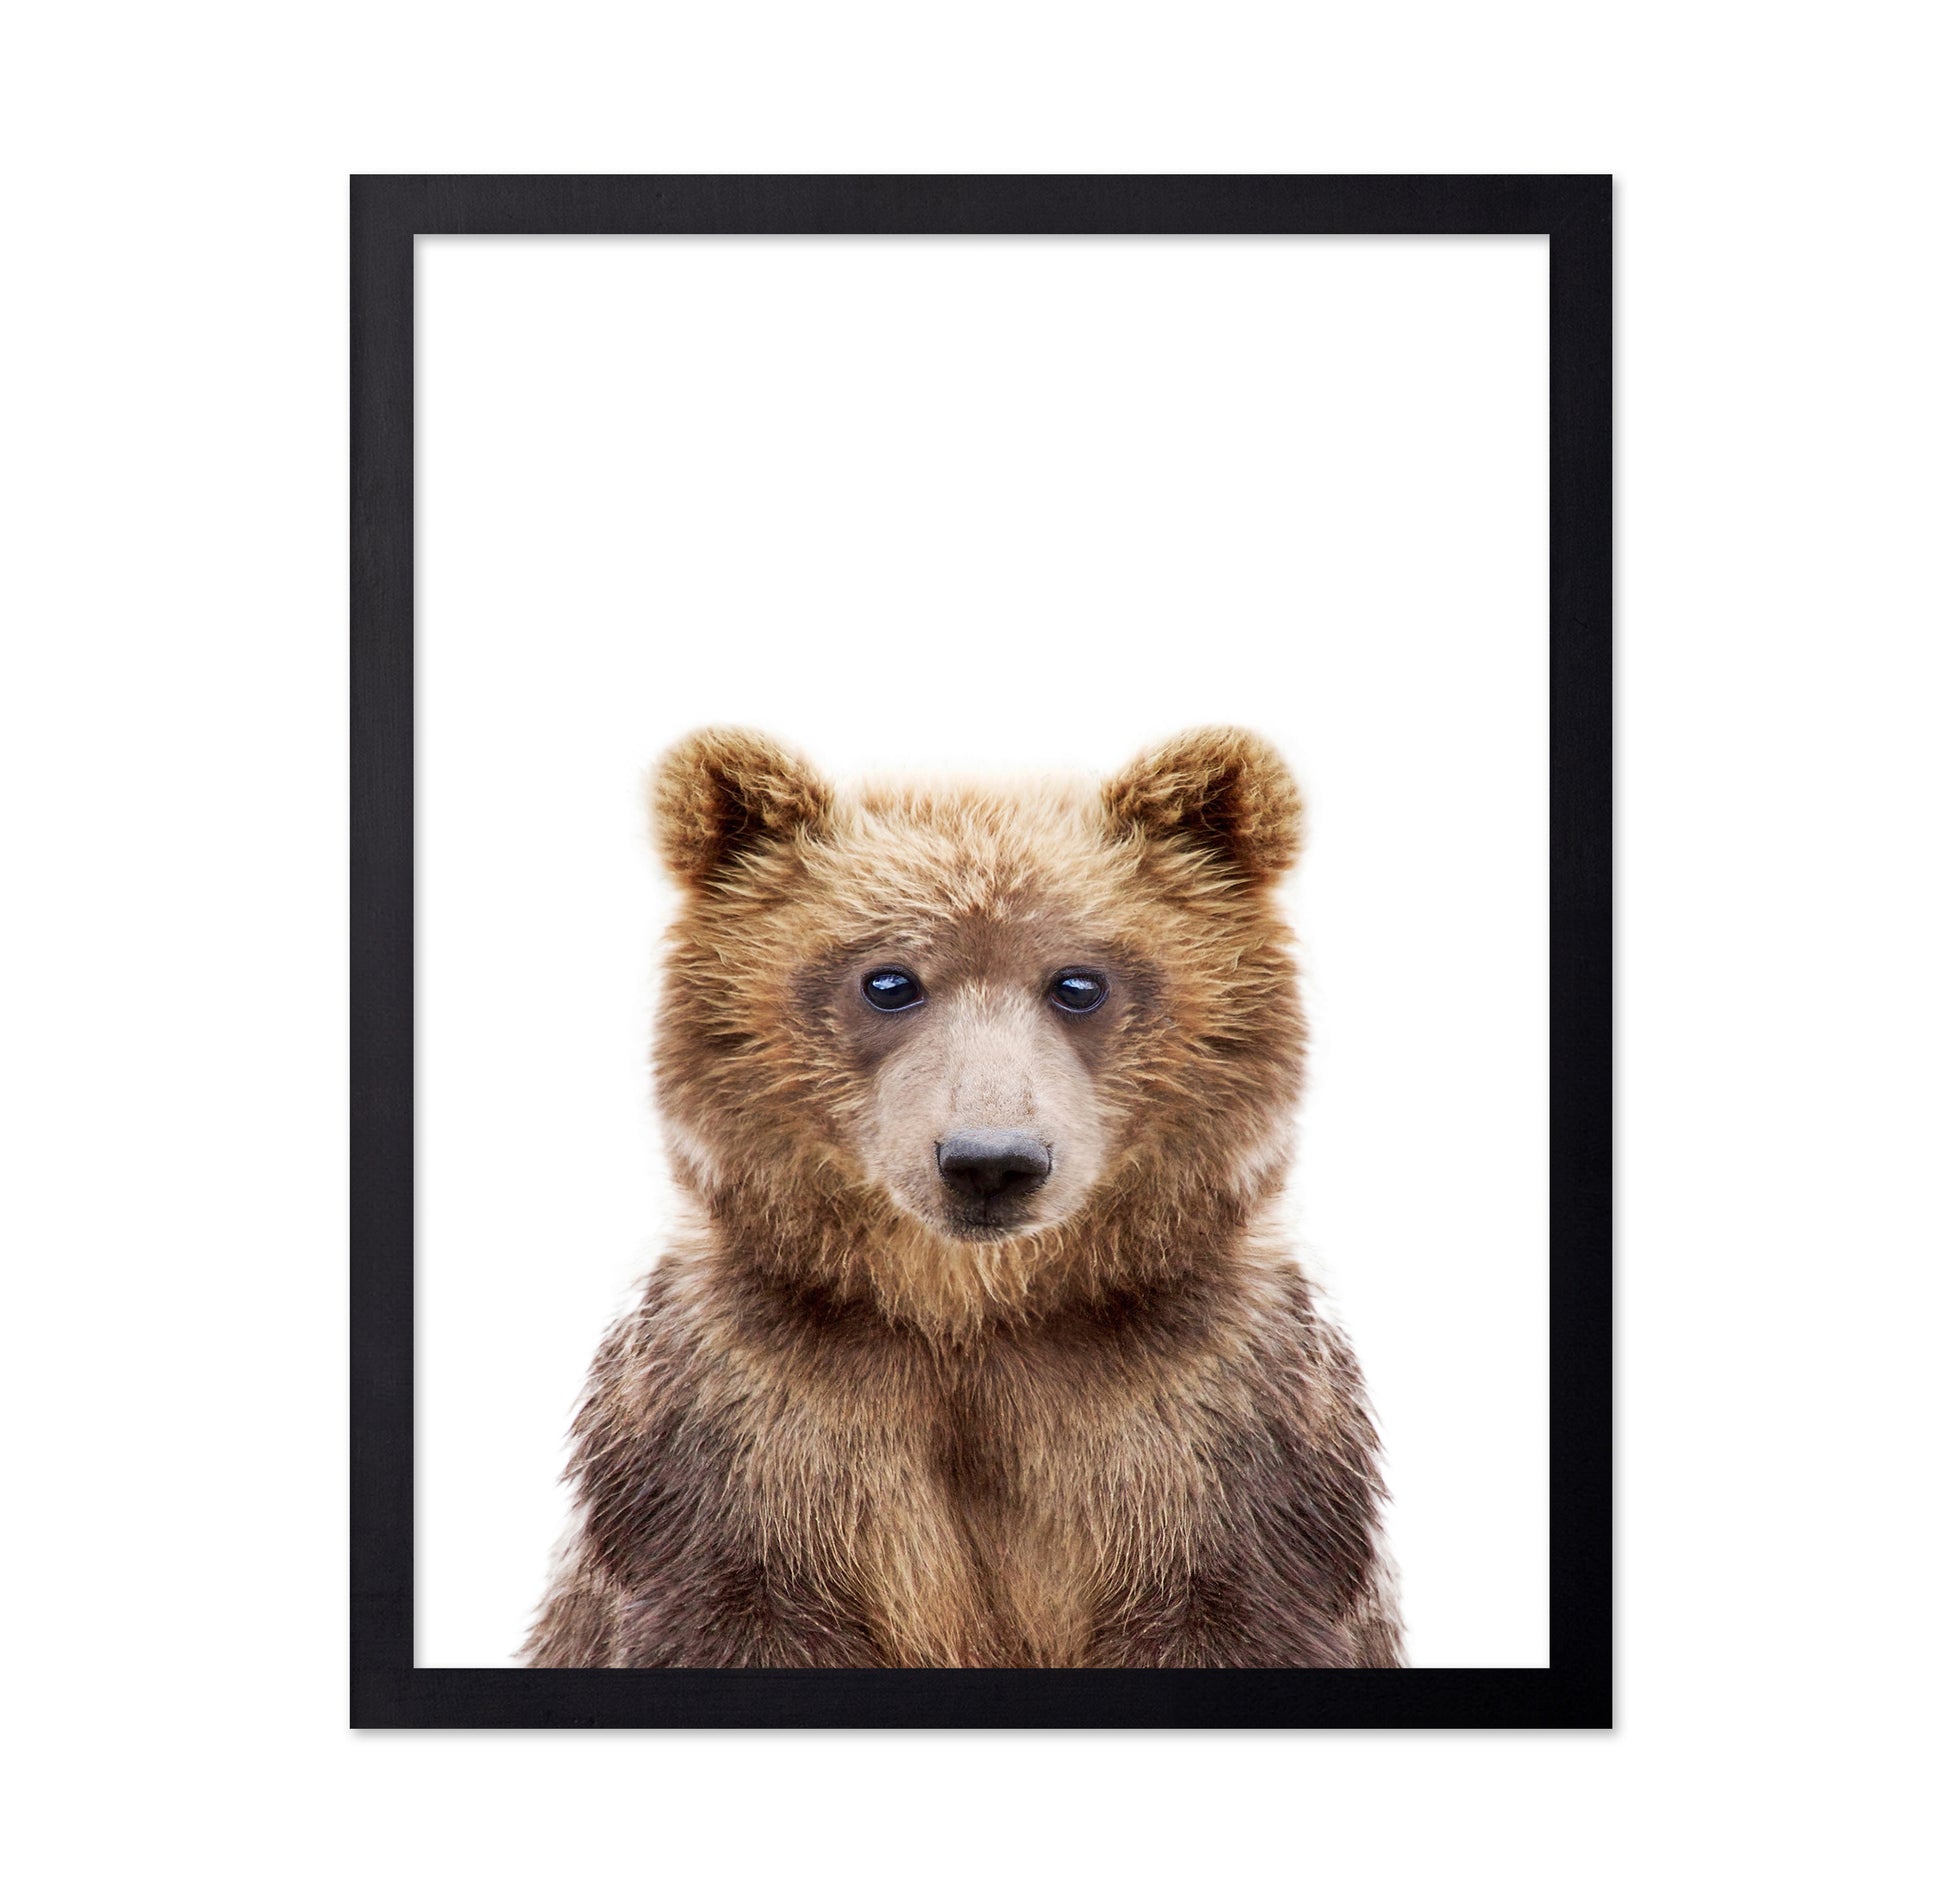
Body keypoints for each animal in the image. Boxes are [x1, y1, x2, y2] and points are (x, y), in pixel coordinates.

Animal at [521, 726, 1403, 1668]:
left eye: (1078, 981)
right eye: (889, 980)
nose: (990, 1161)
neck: (973, 1315)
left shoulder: (1210, 1425)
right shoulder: (747, 1425)